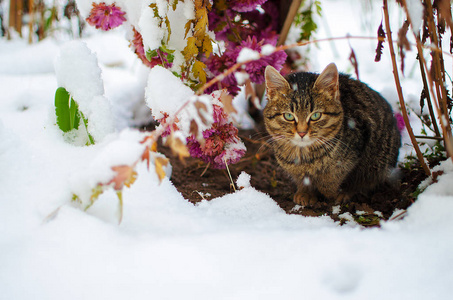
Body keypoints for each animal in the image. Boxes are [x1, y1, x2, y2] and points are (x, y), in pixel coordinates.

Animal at [264, 63, 400, 206]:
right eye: (289, 116)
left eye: (316, 116)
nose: (302, 132)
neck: (304, 156)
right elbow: (303, 179)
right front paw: (305, 192)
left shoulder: (355, 152)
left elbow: (333, 180)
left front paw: (335, 193)